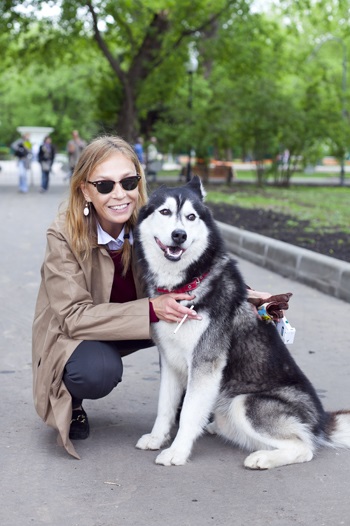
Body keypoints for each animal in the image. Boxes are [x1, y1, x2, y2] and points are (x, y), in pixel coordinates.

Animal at [135, 177, 350, 470]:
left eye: (191, 217)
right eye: (165, 212)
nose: (179, 235)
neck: (187, 283)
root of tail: (320, 420)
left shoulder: (206, 362)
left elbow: (189, 410)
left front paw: (177, 451)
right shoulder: (169, 359)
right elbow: (165, 406)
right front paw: (157, 438)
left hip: (244, 402)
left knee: (305, 447)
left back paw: (263, 458)